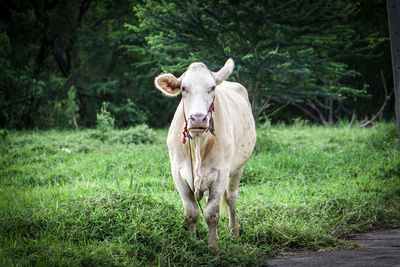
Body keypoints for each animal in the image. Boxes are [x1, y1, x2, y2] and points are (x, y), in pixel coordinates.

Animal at [154, 59, 256, 249]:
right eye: (184, 88)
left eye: (212, 88)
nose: (198, 118)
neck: (198, 144)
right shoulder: (177, 172)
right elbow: (192, 212)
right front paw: (192, 243)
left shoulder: (221, 173)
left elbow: (212, 214)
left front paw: (213, 247)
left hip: (238, 168)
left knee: (232, 198)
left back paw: (234, 231)